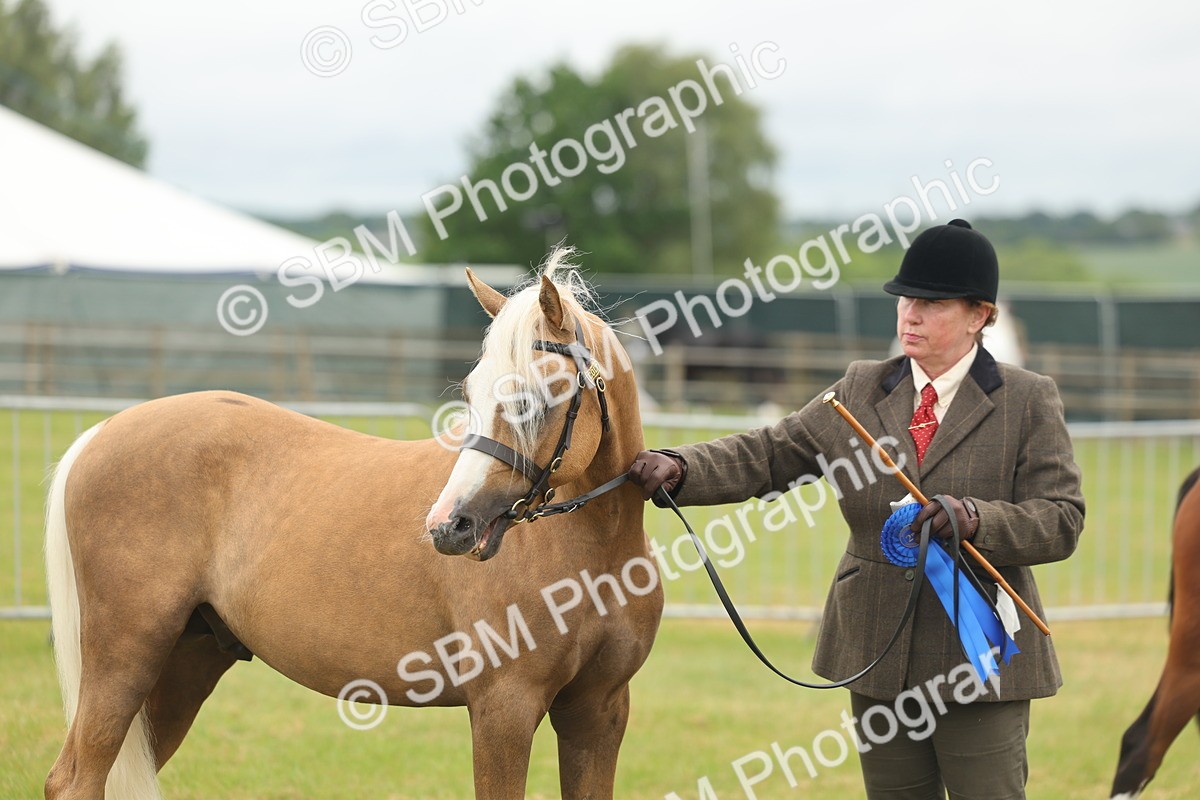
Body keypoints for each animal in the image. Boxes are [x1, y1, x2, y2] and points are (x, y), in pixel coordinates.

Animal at [43, 248, 664, 799]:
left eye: (536, 398)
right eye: (470, 392)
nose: (449, 526)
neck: (591, 552)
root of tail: (102, 432)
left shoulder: (598, 712)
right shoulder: (503, 710)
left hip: (184, 665)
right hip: (126, 654)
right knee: (75, 780)